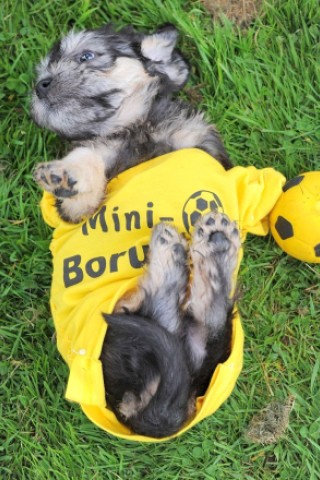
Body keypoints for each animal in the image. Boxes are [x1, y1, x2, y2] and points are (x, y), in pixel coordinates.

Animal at [31, 23, 239, 438]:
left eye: (87, 55)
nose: (40, 85)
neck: (134, 128)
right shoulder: (80, 201)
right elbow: (86, 167)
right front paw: (66, 176)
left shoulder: (197, 142)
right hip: (122, 329)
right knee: (162, 301)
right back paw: (177, 251)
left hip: (196, 344)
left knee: (207, 320)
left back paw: (216, 246)